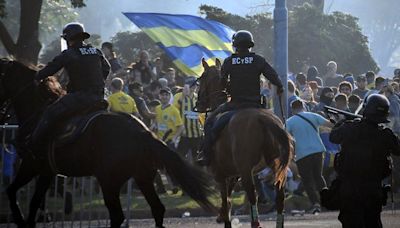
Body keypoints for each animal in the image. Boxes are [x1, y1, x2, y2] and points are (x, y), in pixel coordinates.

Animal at [0, 59, 216, 227]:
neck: (37, 111)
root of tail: (142, 132)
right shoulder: (46, 171)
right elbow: (32, 200)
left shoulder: (34, 165)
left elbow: (17, 194)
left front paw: (20, 219)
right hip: (142, 176)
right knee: (157, 209)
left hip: (109, 181)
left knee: (118, 216)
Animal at [197, 59, 294, 228]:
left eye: (202, 77)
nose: (198, 103)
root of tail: (262, 119)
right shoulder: (234, 174)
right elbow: (228, 199)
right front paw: (221, 215)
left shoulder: (221, 174)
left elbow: (226, 200)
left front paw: (224, 217)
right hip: (276, 166)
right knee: (279, 195)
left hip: (246, 170)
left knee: (252, 194)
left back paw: (256, 222)